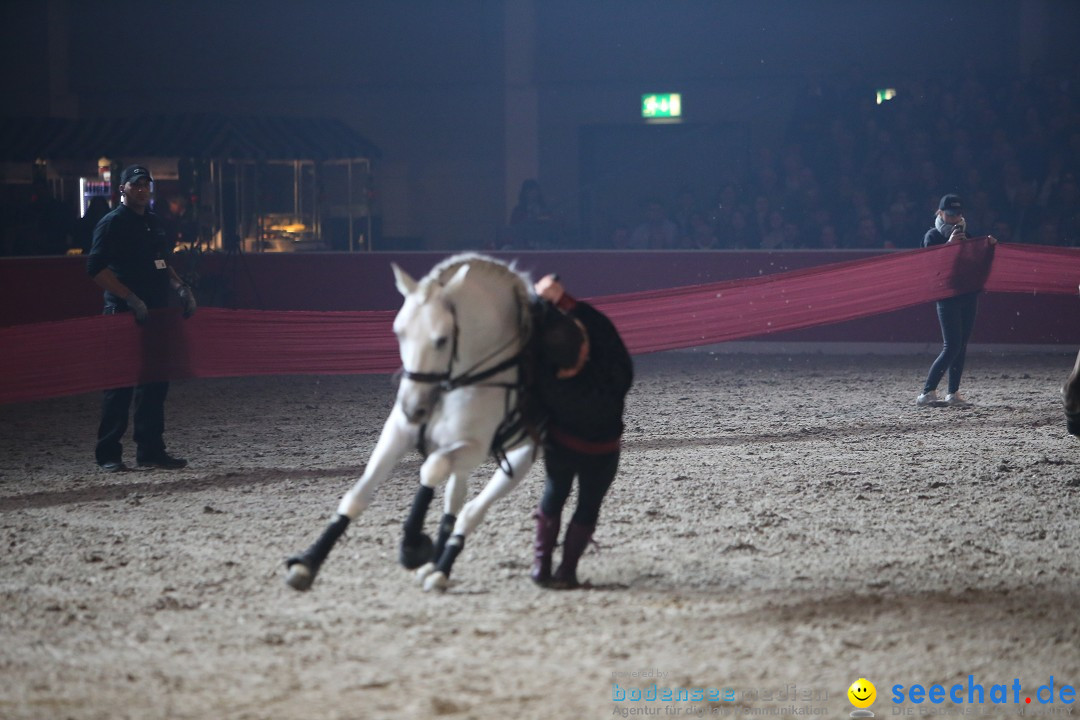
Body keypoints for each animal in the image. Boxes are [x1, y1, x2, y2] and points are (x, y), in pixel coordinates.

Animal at [287, 255, 540, 595]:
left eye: (442, 339)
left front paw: (412, 546)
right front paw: (307, 562)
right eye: (399, 332)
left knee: (471, 511)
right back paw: (435, 563)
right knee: (456, 499)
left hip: (519, 458)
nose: (412, 408)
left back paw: (440, 570)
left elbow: (430, 470)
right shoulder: (397, 434)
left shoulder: (474, 448)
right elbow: (358, 495)